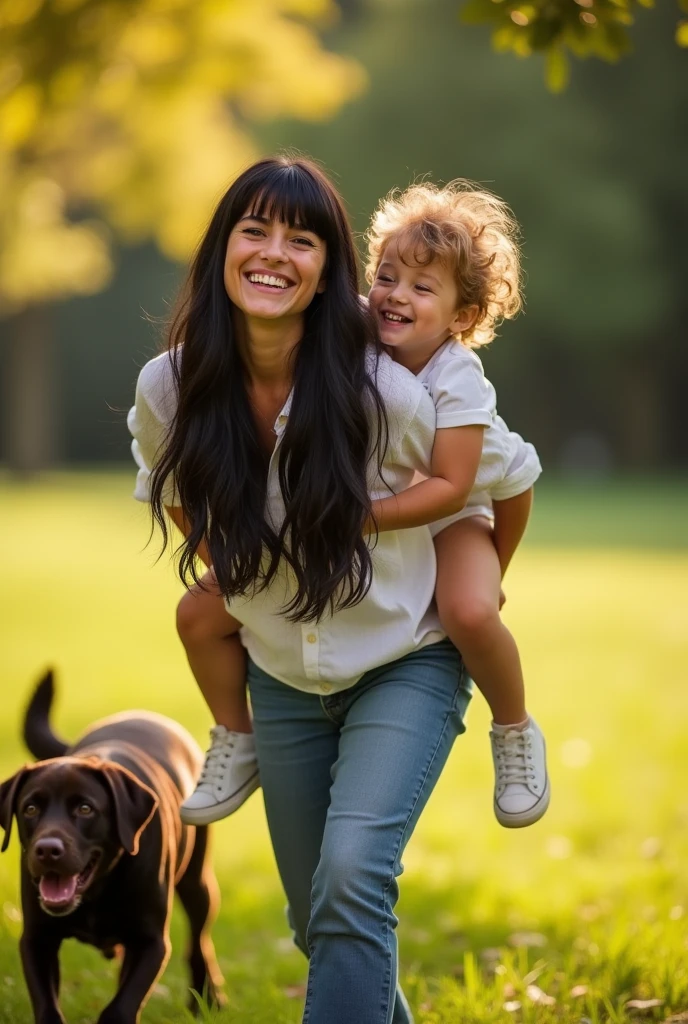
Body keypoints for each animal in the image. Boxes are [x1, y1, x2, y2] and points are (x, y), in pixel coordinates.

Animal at [0, 671, 224, 1024]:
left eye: (85, 809)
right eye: (30, 809)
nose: (47, 850)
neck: (97, 891)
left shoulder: (151, 942)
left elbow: (120, 1007)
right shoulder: (37, 939)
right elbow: (47, 1006)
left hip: (197, 884)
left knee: (199, 943)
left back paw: (206, 999)